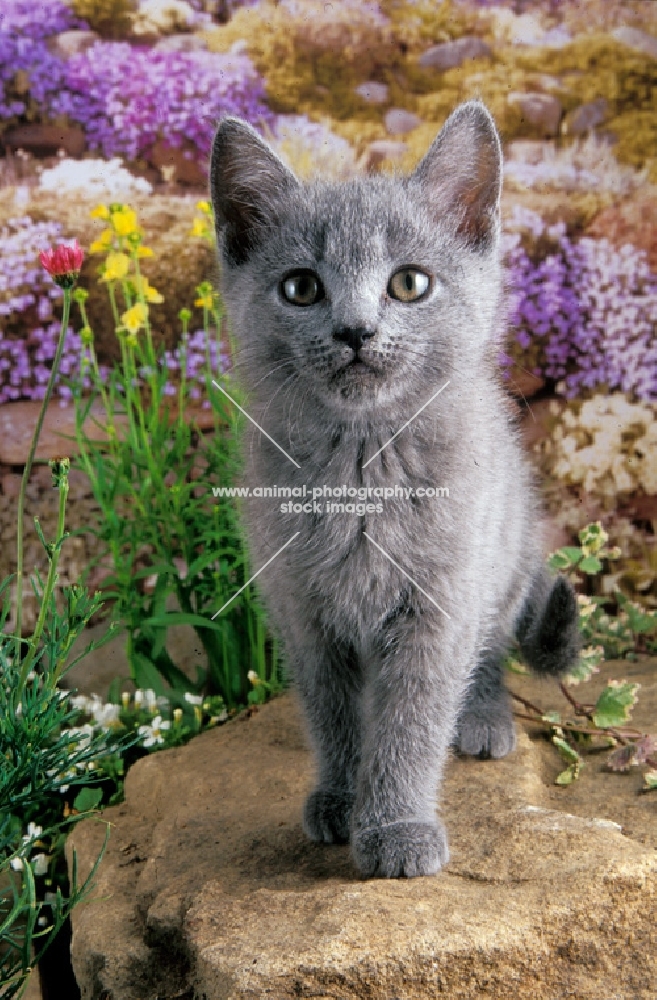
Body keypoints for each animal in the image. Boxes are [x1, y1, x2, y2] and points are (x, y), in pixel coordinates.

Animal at [211, 101, 580, 880]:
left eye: (409, 283)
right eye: (300, 288)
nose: (355, 330)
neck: (361, 467)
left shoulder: (437, 604)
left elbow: (410, 720)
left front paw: (395, 825)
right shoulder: (301, 609)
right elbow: (333, 713)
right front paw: (340, 797)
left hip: (501, 558)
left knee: (489, 648)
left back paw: (482, 718)